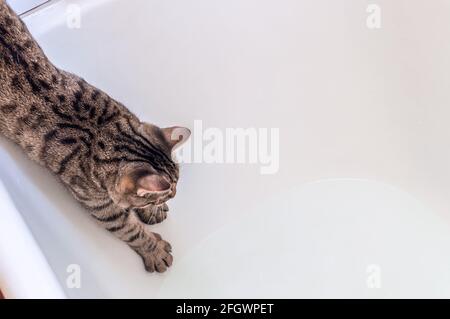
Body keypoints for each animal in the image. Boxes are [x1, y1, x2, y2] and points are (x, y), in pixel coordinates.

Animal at [0, 1, 190, 274]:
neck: (103, 131)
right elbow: (131, 230)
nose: (173, 194)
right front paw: (154, 249)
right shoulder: (103, 208)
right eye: (169, 192)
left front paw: (152, 213)